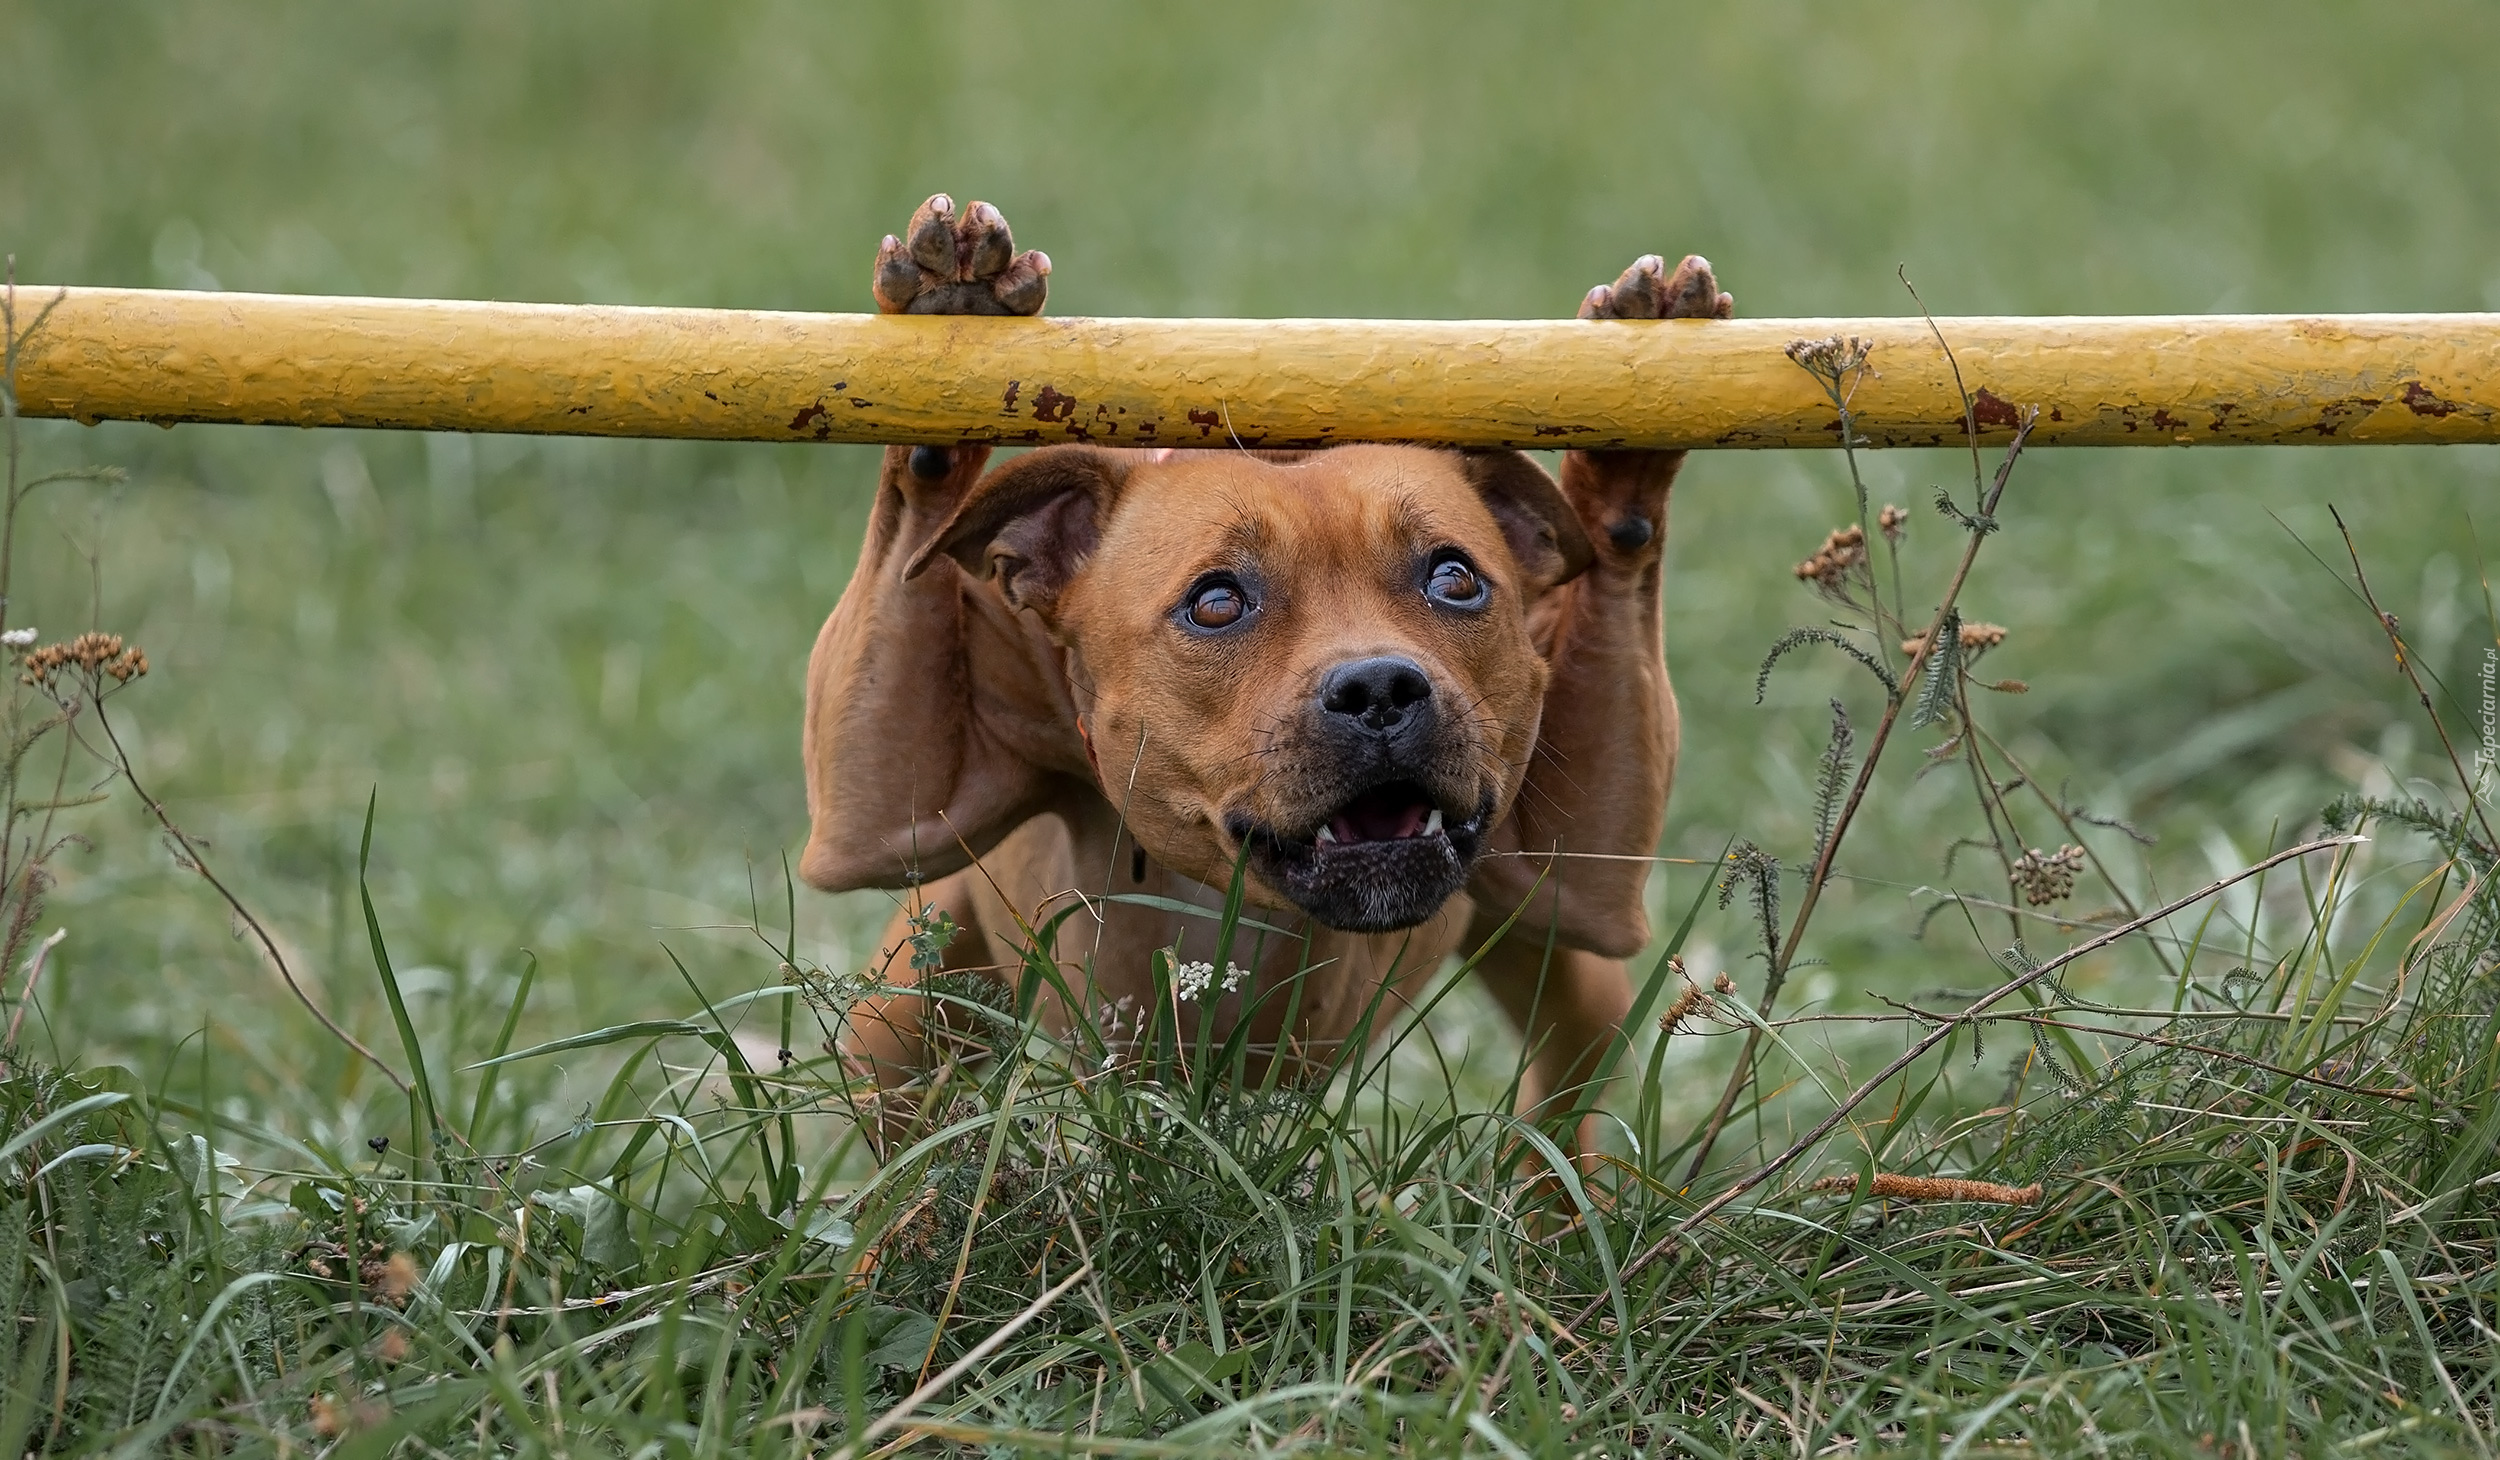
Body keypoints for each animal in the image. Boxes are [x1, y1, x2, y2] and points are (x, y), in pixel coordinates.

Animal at [790, 196, 1730, 1150]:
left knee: (1568, 1090)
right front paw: (948, 321)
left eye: (1456, 580)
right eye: (1215, 603)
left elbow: (1620, 554)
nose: (1379, 690)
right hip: (906, 1013)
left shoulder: (1586, 883)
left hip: (1570, 980)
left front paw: (1629, 447)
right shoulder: (879, 822)